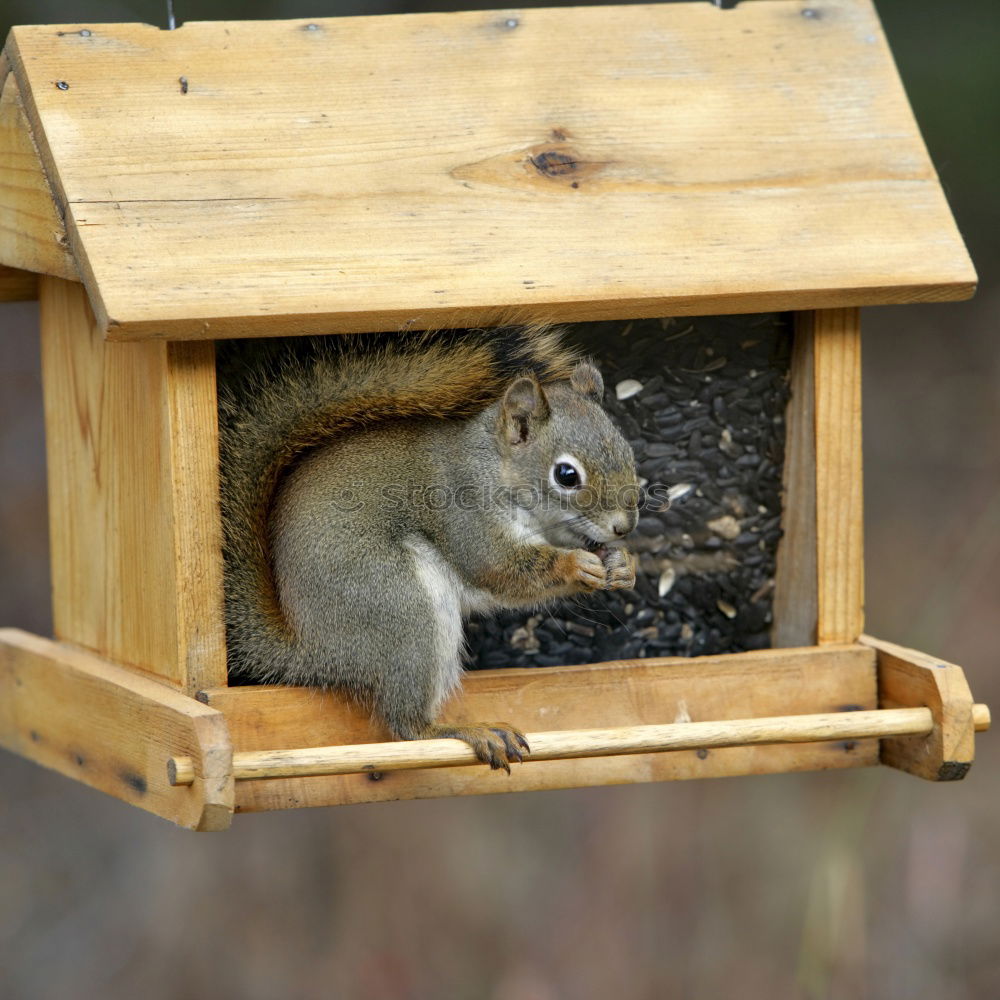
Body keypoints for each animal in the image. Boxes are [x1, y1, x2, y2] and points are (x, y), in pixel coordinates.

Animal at [219, 324, 640, 768]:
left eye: (627, 450)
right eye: (566, 475)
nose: (624, 526)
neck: (494, 469)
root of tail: (313, 653)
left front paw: (622, 564)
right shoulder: (464, 514)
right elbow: (497, 567)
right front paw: (576, 566)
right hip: (399, 608)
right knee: (406, 725)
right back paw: (464, 731)